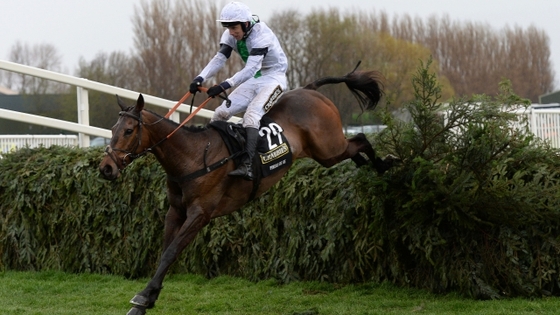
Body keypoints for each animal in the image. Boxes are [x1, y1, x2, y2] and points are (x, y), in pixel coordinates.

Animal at [99, 67, 394, 315]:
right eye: (112, 129)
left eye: (128, 130)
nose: (106, 168)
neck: (192, 156)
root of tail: (310, 89)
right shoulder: (176, 210)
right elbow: (165, 253)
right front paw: (146, 300)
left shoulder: (200, 213)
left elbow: (172, 252)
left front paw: (142, 297)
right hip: (327, 154)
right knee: (355, 150)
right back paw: (371, 164)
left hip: (329, 147)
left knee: (361, 140)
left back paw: (386, 163)